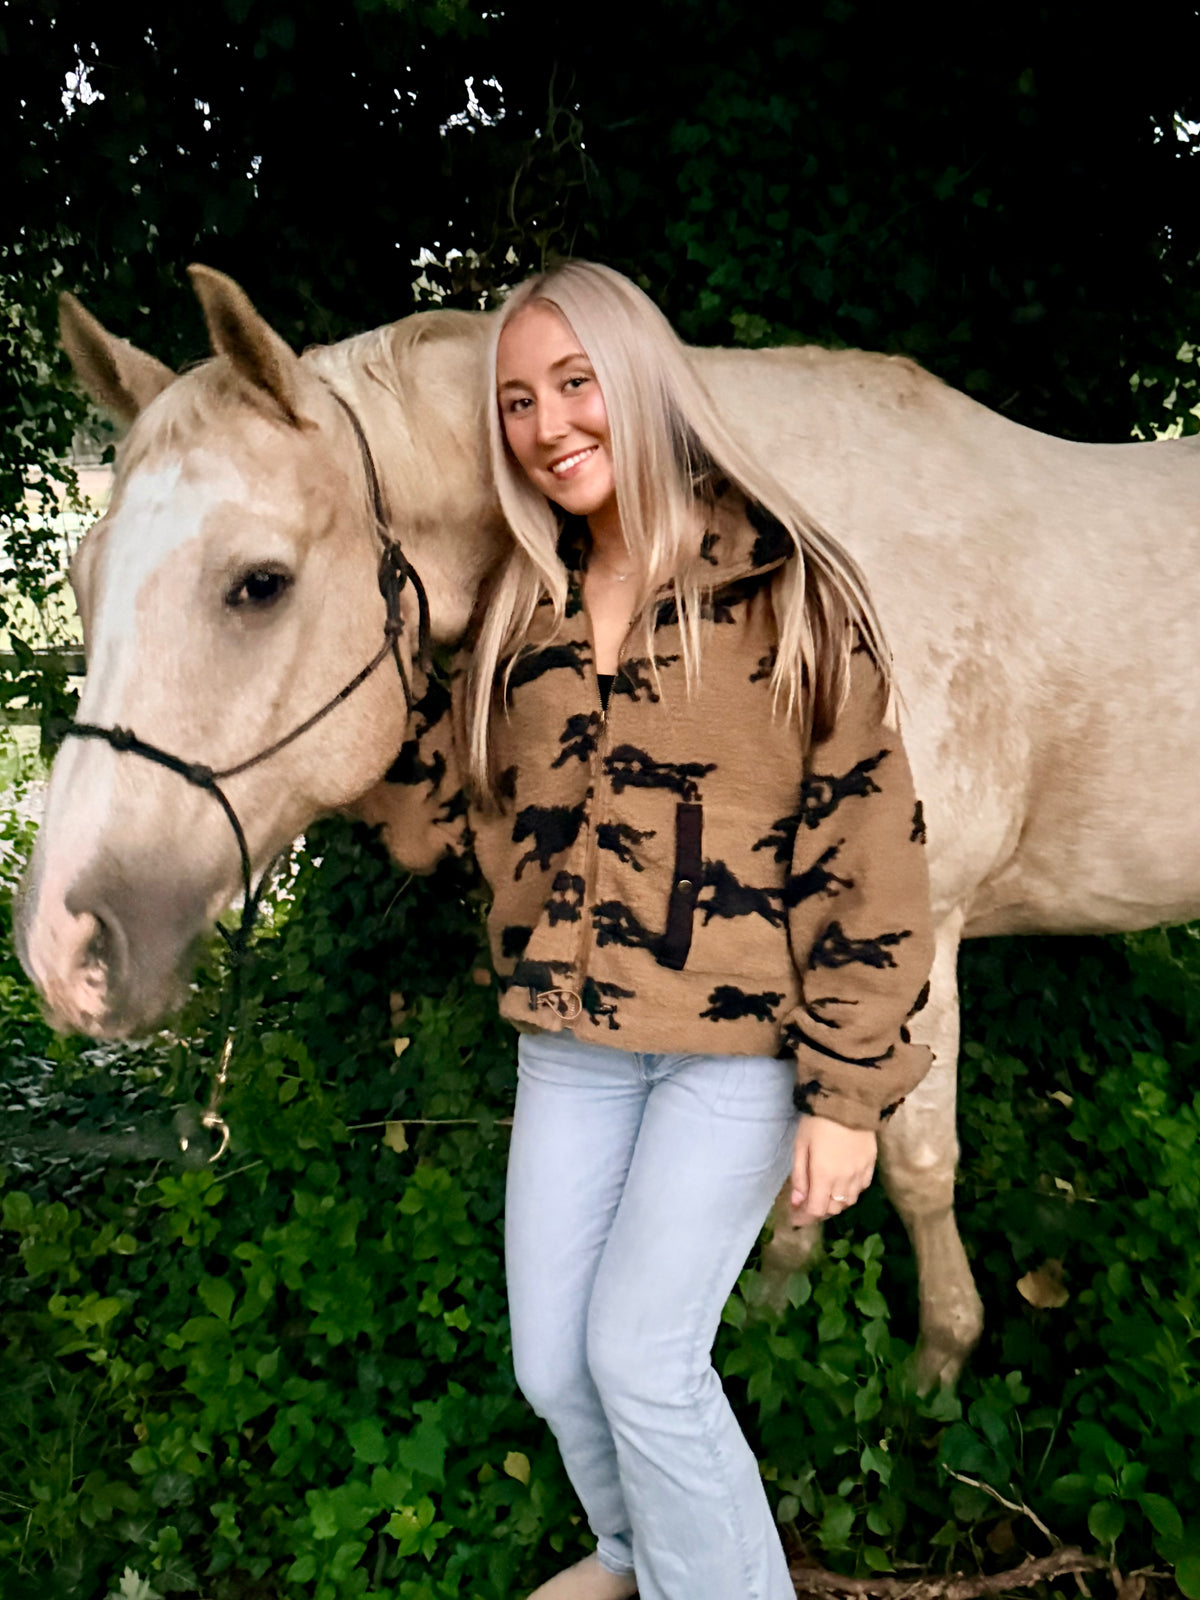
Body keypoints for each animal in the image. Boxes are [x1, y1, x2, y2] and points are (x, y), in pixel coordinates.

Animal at [17, 266, 1200, 1389]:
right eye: (81, 577)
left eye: (258, 585)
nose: (60, 949)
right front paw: (779, 1294)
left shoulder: (918, 938)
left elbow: (909, 1159)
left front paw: (939, 1361)